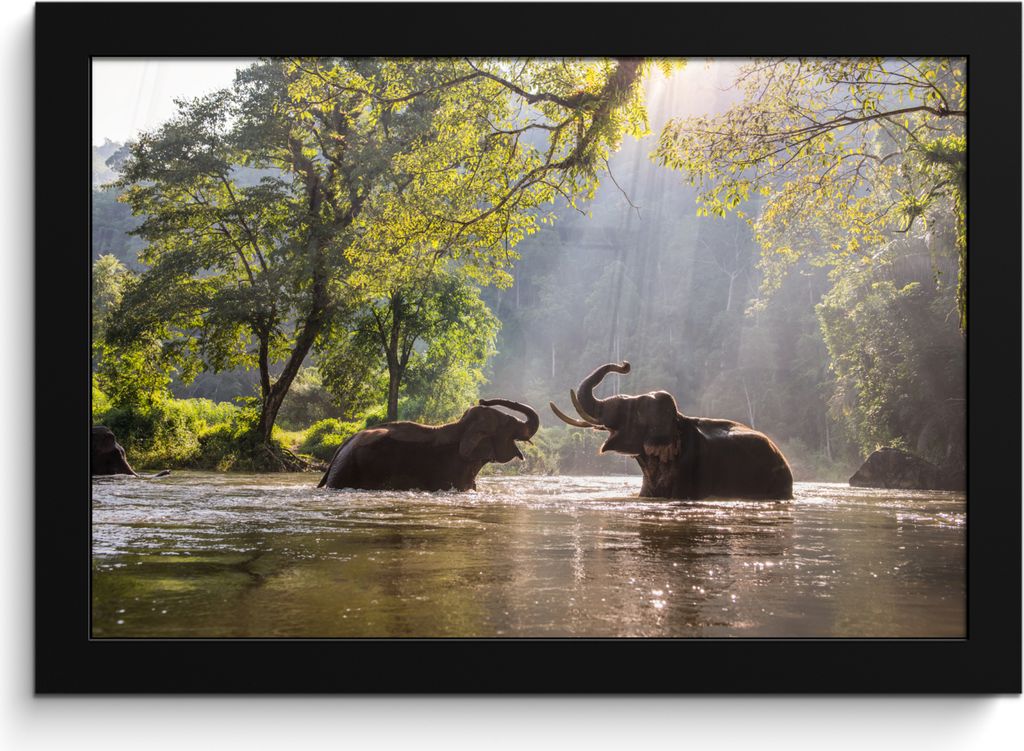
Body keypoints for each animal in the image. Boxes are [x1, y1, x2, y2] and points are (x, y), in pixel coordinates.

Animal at [317, 398, 540, 491]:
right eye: (508, 424)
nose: (482, 399)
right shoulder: (450, 470)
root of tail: (341, 447)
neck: (461, 426)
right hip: (347, 471)